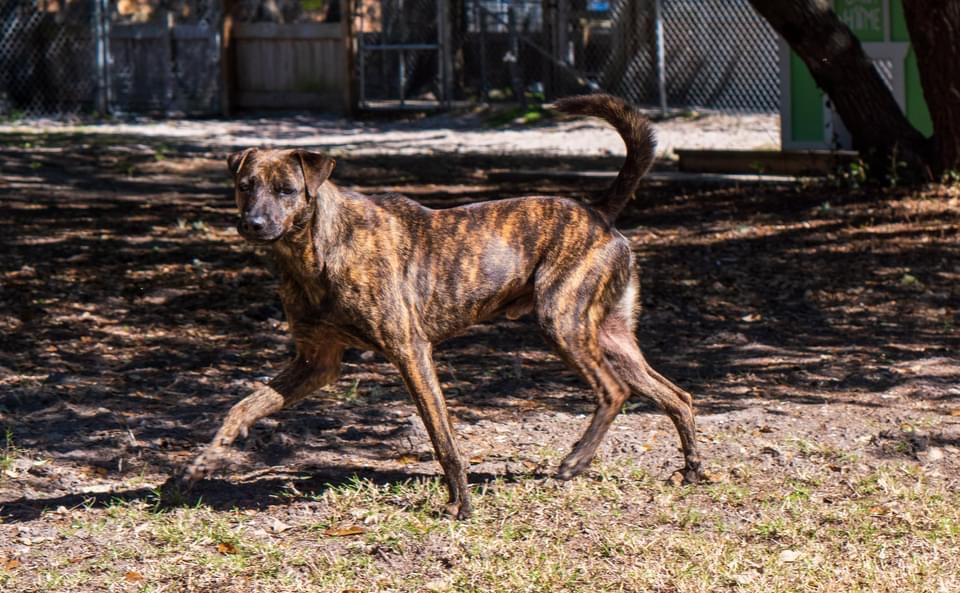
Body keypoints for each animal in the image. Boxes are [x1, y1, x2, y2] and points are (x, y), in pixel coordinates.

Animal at [180, 95, 704, 516]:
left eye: (287, 190)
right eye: (245, 186)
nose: (253, 224)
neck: (314, 252)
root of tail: (598, 213)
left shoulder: (410, 351)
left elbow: (441, 437)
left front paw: (460, 504)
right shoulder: (316, 363)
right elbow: (243, 406)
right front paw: (201, 464)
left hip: (563, 323)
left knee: (614, 391)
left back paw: (575, 461)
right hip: (609, 335)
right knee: (676, 395)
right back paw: (693, 470)